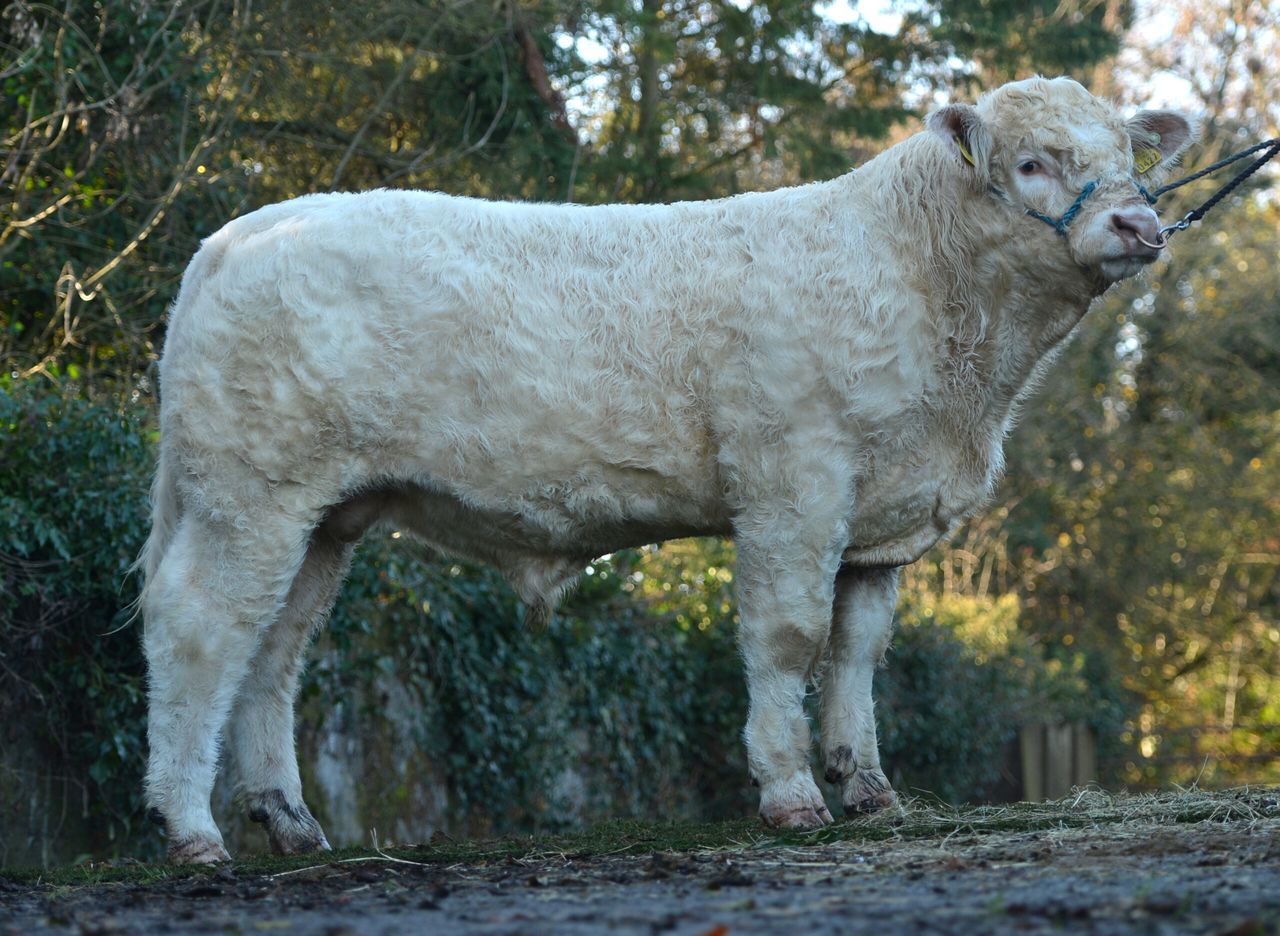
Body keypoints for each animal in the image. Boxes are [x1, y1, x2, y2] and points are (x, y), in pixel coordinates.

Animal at [138, 76, 1195, 863]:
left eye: (1131, 157)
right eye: (1032, 162)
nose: (1138, 225)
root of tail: (243, 231)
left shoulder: (883, 520)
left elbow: (857, 653)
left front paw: (869, 788)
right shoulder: (792, 483)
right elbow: (788, 638)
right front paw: (792, 794)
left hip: (327, 514)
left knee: (274, 649)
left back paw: (288, 822)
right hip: (250, 494)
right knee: (201, 629)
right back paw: (192, 831)